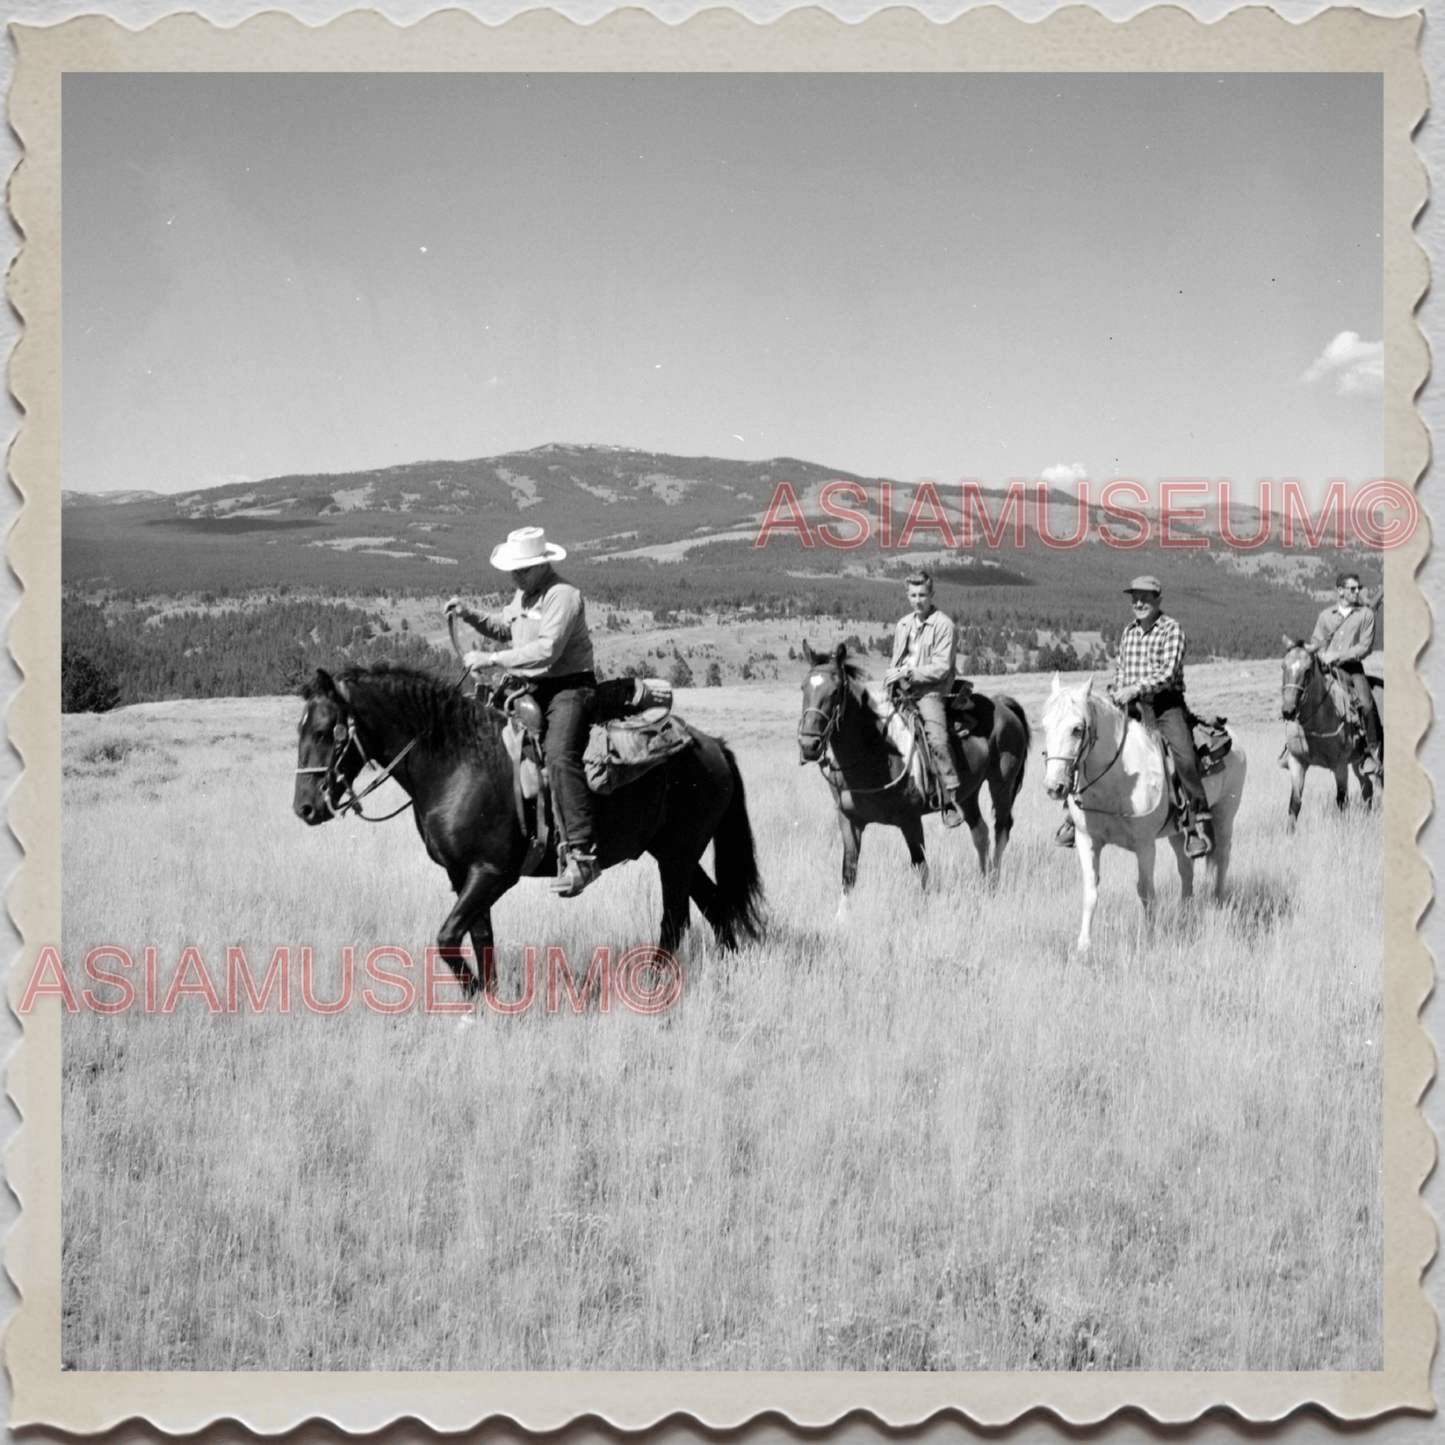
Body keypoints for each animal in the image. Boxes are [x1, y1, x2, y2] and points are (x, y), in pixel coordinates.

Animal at [293, 661, 768, 994]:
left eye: (325, 731)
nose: (305, 807)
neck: (457, 760)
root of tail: (713, 746)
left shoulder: (493, 873)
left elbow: (448, 937)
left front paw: (473, 994)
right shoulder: (463, 875)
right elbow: (480, 937)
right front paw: (489, 1000)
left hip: (677, 854)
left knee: (676, 919)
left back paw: (650, 984)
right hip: (677, 852)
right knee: (716, 907)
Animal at [797, 647, 1034, 913]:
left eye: (835, 691)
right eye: (803, 687)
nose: (809, 745)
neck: (874, 748)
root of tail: (1003, 705)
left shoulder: (910, 820)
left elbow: (921, 867)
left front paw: (923, 911)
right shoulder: (848, 820)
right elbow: (849, 871)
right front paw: (841, 918)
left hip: (1002, 785)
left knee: (1001, 831)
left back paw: (993, 884)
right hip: (967, 794)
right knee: (980, 833)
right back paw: (982, 885)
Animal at [1040, 670, 1254, 953]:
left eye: (1077, 729)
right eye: (1044, 726)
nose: (1054, 786)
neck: (1115, 779)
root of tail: (1230, 735)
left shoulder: (1144, 845)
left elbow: (1145, 892)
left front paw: (1150, 939)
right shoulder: (1087, 840)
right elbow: (1090, 892)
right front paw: (1084, 945)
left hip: (1225, 815)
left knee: (1221, 860)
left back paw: (1218, 904)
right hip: (1179, 832)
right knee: (1187, 869)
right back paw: (1184, 917)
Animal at [1283, 641, 1381, 832]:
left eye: (1307, 670)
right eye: (1283, 666)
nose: (1288, 710)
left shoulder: (1340, 766)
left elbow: (1342, 801)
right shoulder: (1296, 762)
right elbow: (1294, 803)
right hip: (1359, 763)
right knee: (1367, 788)